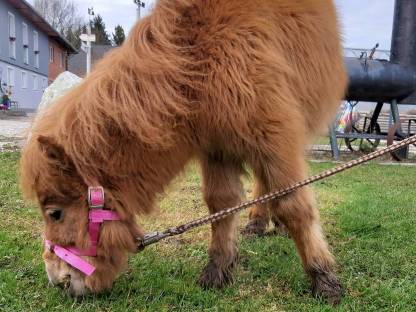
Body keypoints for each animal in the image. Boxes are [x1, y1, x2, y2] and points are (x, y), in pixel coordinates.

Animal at [19, 0, 346, 304]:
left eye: (55, 213)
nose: (56, 280)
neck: (198, 60)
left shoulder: (274, 136)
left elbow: (294, 205)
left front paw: (324, 279)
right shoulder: (218, 147)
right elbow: (221, 204)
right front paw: (217, 270)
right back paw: (257, 222)